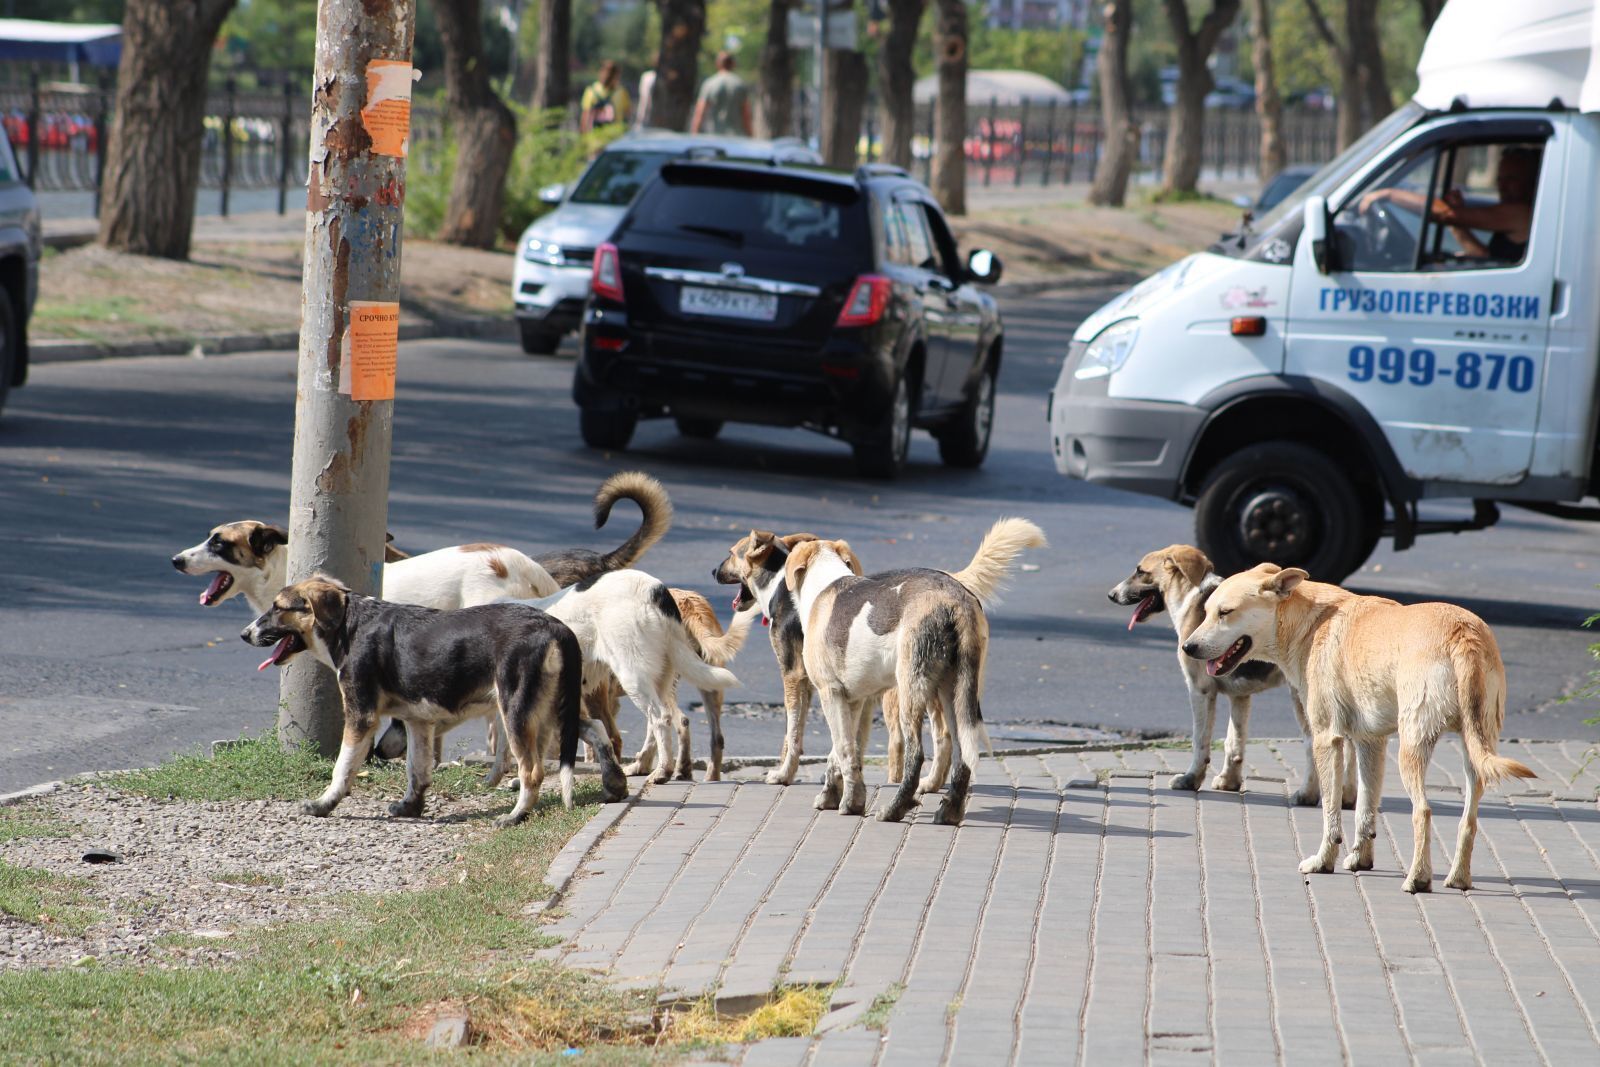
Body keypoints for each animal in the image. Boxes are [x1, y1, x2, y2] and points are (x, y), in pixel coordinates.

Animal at [243, 575, 624, 825]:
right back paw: (614, 782)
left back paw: (515, 816)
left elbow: (343, 767)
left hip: (517, 710)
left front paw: (324, 805)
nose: (245, 634)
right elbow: (417, 769)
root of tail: (555, 626)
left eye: (278, 608)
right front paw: (410, 808)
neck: (350, 626)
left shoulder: (360, 715)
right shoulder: (418, 722)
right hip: (550, 706)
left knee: (532, 770)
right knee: (596, 729)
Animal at [777, 518, 1049, 825]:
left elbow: (844, 750)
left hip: (911, 692)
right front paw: (835, 798)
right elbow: (841, 751)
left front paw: (849, 803)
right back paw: (949, 812)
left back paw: (894, 809)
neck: (825, 582)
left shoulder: (830, 692)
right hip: (954, 694)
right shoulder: (852, 700)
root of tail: (955, 599)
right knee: (961, 754)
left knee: (916, 754)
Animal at [1107, 547, 1344, 806]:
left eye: (1140, 571)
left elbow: (1200, 740)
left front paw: (1191, 779)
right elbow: (1234, 741)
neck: (1190, 597)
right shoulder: (1239, 696)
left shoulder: (1199, 690)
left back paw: (1308, 795)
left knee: (1314, 743)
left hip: (1303, 700)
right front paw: (1229, 781)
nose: (1111, 595)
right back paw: (1348, 798)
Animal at [1190, 566, 1536, 895]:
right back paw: (1459, 878)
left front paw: (1323, 861)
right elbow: (1365, 808)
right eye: (1205, 611)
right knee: (1468, 820)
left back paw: (1418, 878)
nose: (1188, 647)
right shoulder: (1371, 742)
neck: (1311, 622)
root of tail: (1463, 633)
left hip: (1412, 747)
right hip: (1475, 748)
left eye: (1225, 612)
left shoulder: (1327, 739)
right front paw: (1360, 858)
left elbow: (1331, 810)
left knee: (1423, 811)